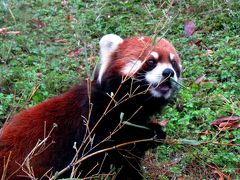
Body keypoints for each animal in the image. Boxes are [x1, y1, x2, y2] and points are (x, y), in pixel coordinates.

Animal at [0, 33, 180, 179]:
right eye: (151, 62)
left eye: (173, 63)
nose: (168, 73)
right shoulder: (92, 120)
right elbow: (107, 154)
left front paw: (154, 132)